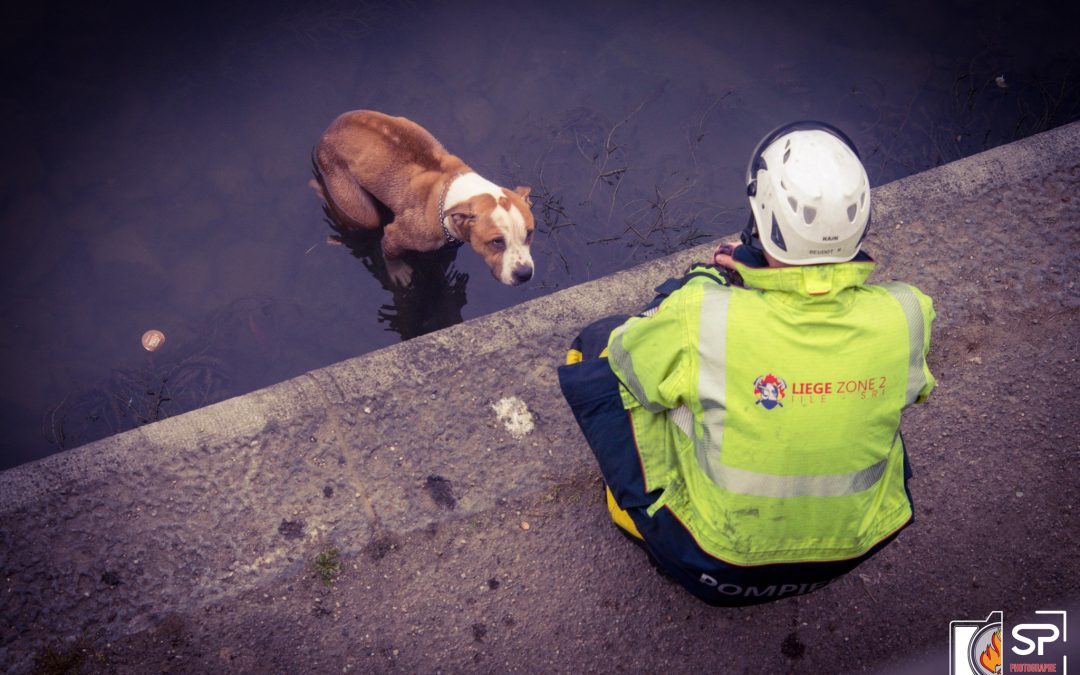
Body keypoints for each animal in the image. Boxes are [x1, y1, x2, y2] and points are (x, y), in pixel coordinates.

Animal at [311, 110, 533, 285]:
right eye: (496, 242)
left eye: (530, 233)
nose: (524, 274)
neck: (450, 191)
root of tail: (327, 132)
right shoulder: (395, 234)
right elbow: (390, 253)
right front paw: (397, 271)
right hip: (356, 203)